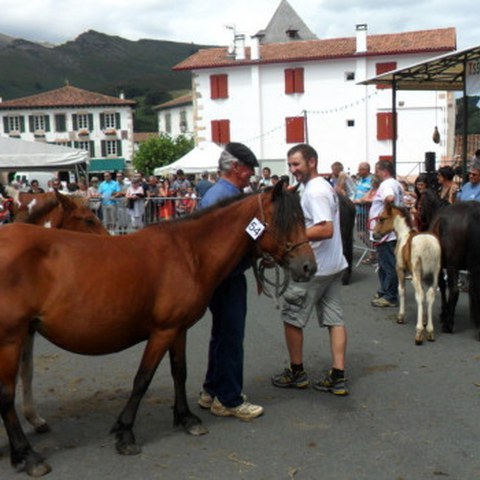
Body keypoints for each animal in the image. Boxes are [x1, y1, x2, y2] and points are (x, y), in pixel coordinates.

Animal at [0, 182, 316, 474]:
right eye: (283, 222)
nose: (308, 267)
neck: (189, 252)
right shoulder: (162, 331)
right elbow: (143, 379)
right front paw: (125, 433)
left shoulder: (178, 329)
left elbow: (180, 372)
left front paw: (186, 418)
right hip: (11, 339)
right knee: (6, 394)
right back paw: (28, 456)